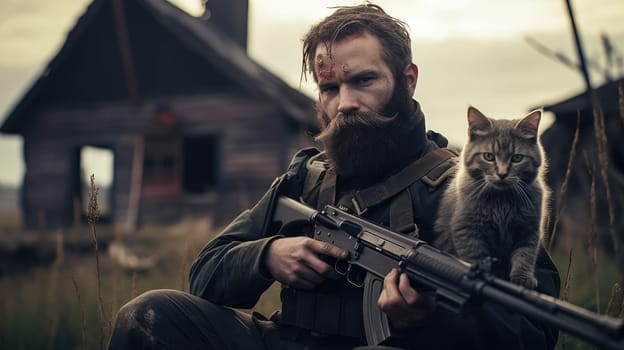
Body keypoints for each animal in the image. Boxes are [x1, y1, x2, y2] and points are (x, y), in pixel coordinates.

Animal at [436, 107, 548, 290]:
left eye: (517, 158)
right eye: (488, 157)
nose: (502, 174)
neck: (501, 201)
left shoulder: (529, 230)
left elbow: (526, 255)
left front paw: (522, 278)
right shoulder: (468, 232)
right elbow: (475, 259)